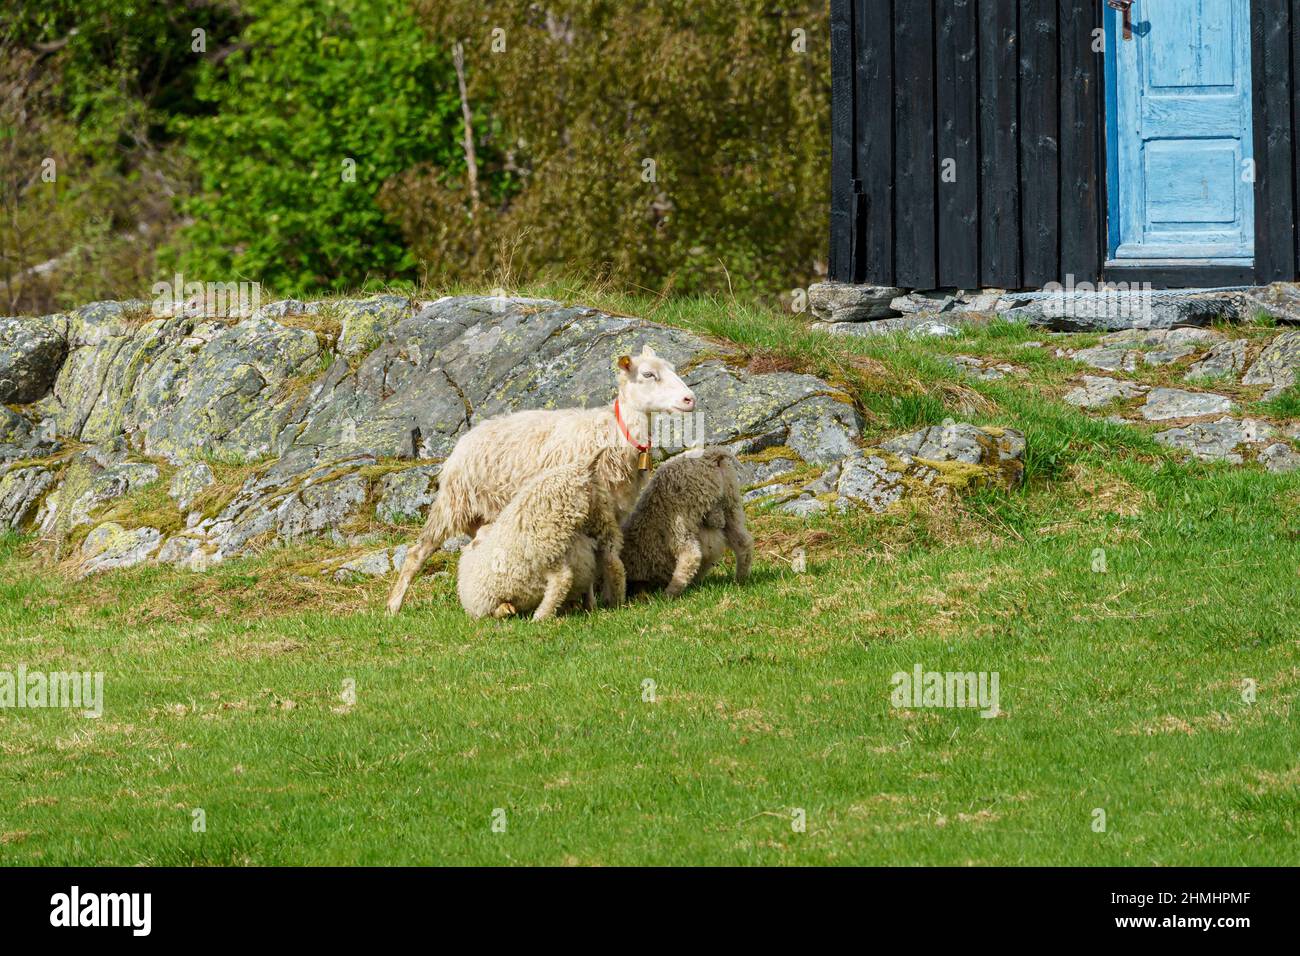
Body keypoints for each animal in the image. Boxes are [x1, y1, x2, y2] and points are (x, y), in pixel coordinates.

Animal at [457, 463, 618, 624]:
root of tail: (582, 471)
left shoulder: (482, 605)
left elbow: (494, 612)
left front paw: (506, 610)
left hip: (547, 543)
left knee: (563, 579)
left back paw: (540, 616)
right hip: (600, 522)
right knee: (611, 562)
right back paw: (608, 602)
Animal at [618, 444, 754, 595]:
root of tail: (711, 455)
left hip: (680, 518)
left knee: (692, 555)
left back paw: (670, 593)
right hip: (731, 503)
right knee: (743, 542)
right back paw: (741, 579)